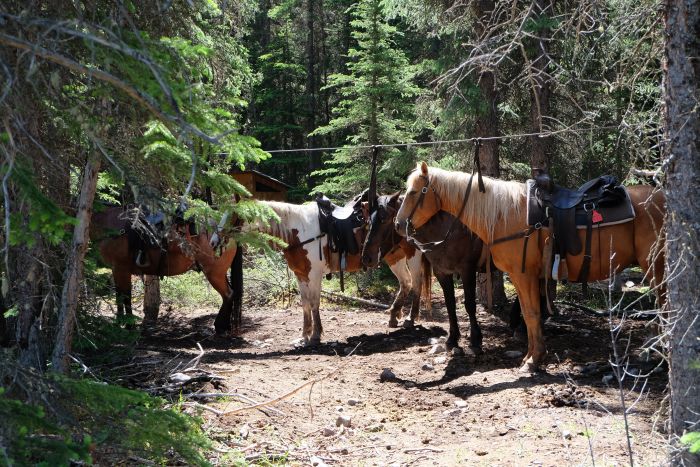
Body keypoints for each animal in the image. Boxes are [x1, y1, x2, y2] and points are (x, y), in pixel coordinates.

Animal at [90, 207, 243, 334]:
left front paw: (128, 326)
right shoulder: (116, 270)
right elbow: (119, 297)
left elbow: (125, 297)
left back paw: (221, 326)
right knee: (230, 293)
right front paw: (120, 323)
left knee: (228, 294)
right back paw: (223, 326)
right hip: (220, 273)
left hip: (214, 273)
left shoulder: (121, 269)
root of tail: (229, 234)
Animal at [249, 199, 430, 346]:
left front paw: (315, 335)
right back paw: (393, 316)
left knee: (417, 283)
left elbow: (314, 303)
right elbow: (305, 303)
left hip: (413, 254)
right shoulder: (301, 275)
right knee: (406, 282)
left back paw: (410, 319)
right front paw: (305, 336)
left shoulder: (314, 275)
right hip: (394, 256)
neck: (299, 231)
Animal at [360, 192, 486, 352]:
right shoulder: (442, 272)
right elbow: (450, 304)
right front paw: (452, 339)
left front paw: (476, 339)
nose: (366, 258)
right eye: (368, 221)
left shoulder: (467, 270)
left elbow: (470, 304)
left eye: (385, 219)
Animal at [396, 164, 664, 372]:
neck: (503, 216)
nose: (399, 225)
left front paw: (532, 360)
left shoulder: (516, 274)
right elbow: (527, 312)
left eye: (414, 192)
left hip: (655, 267)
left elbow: (531, 313)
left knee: (665, 306)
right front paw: (530, 355)